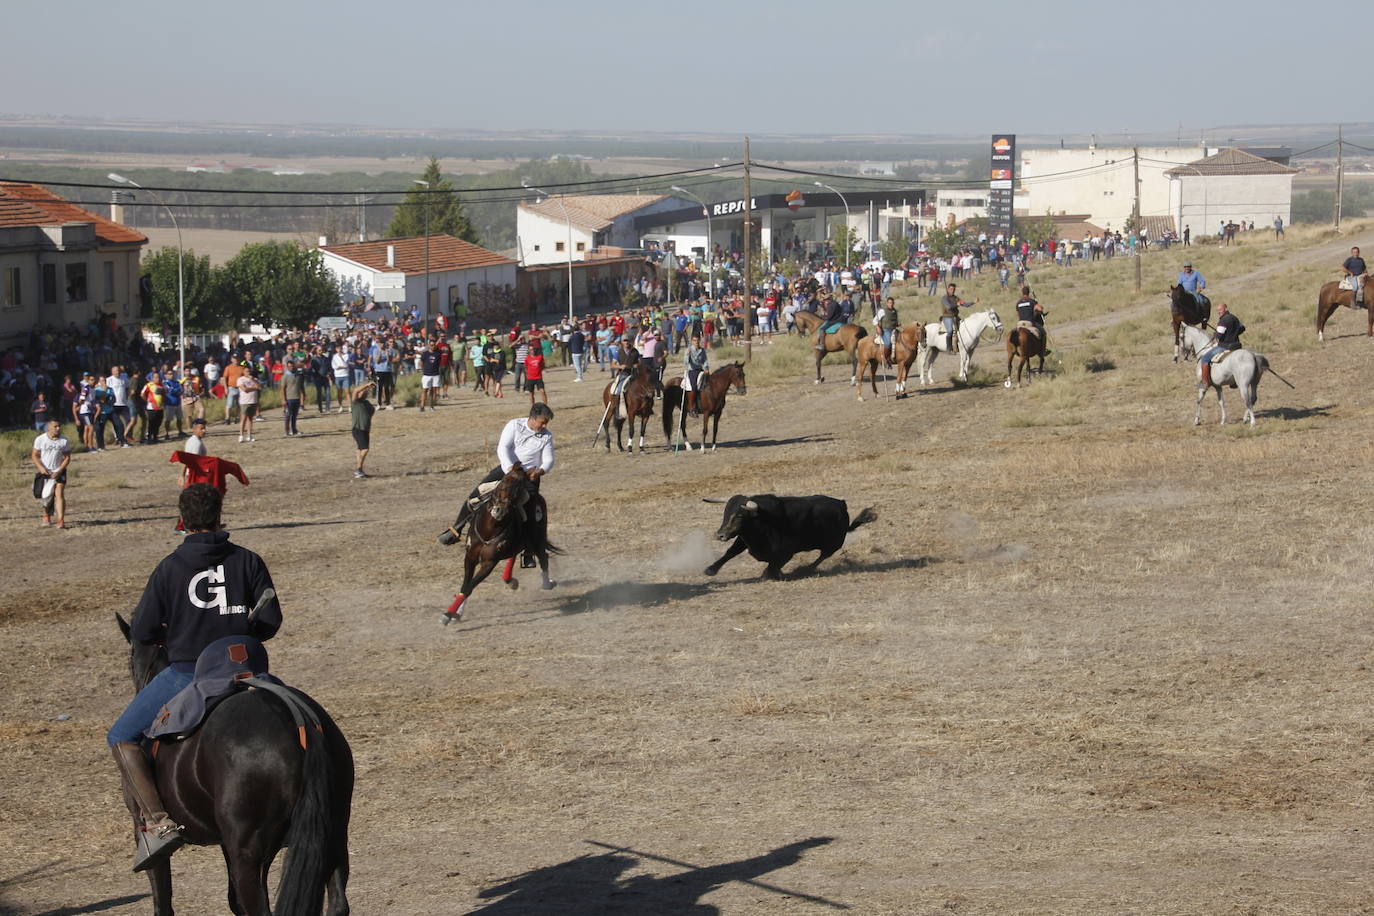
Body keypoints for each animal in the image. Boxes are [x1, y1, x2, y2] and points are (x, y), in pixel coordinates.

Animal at [116, 615, 354, 916]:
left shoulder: (146, 834)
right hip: (330, 834)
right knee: (337, 903)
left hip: (248, 852)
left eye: (130, 657)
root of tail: (291, 718)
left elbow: (163, 900)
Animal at [442, 466, 555, 623]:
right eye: (503, 482)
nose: (499, 510)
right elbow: (465, 585)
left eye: (518, 491)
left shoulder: (489, 563)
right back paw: (510, 579)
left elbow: (469, 587)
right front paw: (456, 613)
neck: (489, 531)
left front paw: (448, 615)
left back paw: (546, 583)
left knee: (543, 557)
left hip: (538, 538)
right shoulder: (470, 557)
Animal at [703, 494, 873, 579]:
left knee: (823, 555)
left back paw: (804, 569)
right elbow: (730, 552)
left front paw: (769, 575)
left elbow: (773, 565)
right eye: (725, 513)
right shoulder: (743, 539)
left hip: (834, 543)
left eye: (739, 516)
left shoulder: (786, 553)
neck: (764, 519)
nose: (720, 535)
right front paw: (711, 569)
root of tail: (842, 504)